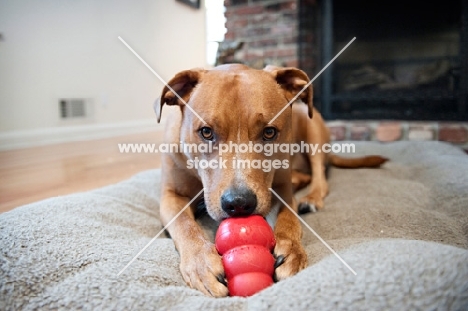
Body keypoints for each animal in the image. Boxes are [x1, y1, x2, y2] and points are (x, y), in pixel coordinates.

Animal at [155, 64, 386, 298]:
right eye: (206, 132)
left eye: (269, 132)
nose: (239, 203)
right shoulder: (171, 196)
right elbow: (184, 224)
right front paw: (201, 263)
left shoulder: (281, 189)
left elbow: (289, 218)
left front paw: (292, 250)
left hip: (312, 130)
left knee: (319, 176)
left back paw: (311, 197)